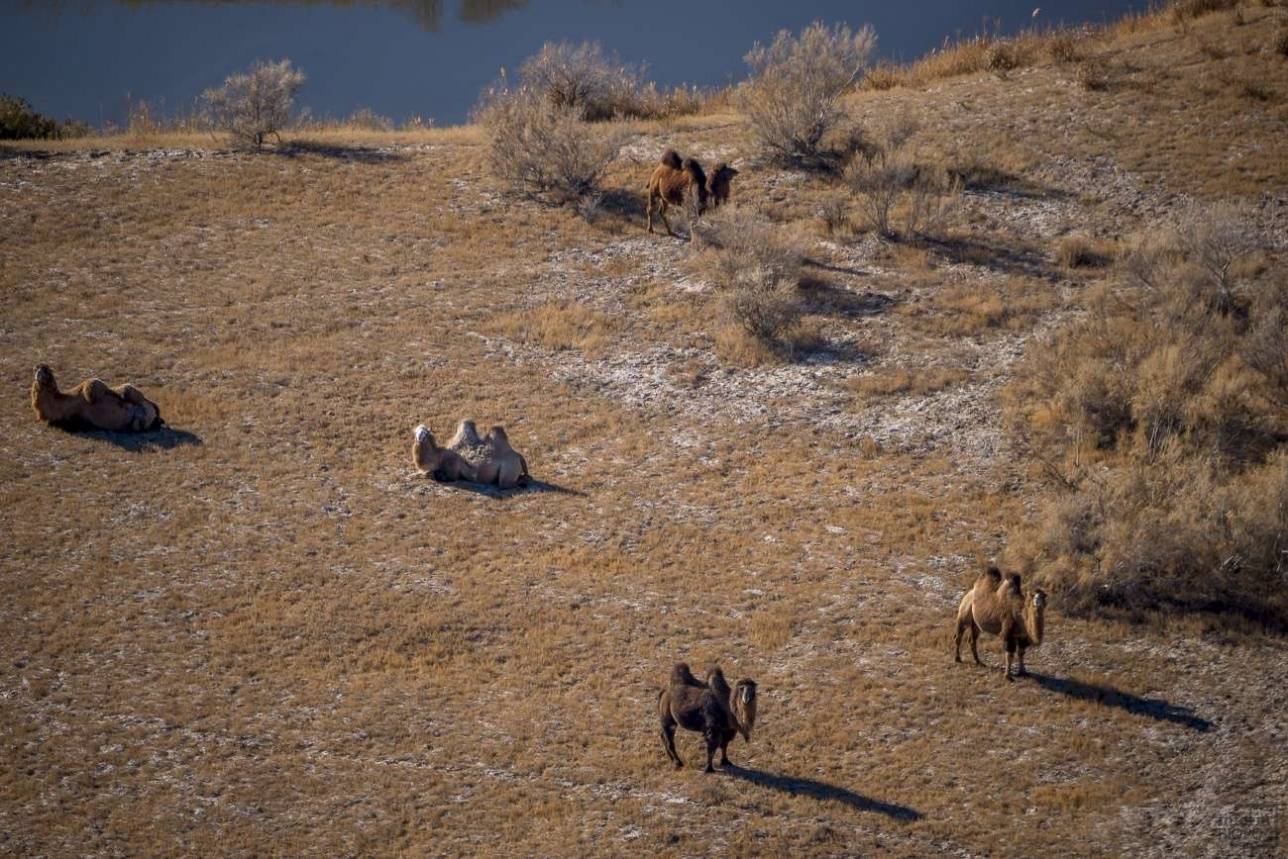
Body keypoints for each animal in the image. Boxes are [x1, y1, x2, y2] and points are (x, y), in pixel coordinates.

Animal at [31, 365, 163, 432]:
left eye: (47, 371)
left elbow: (93, 383)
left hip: (134, 394)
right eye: (37, 370)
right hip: (138, 422)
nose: (39, 373)